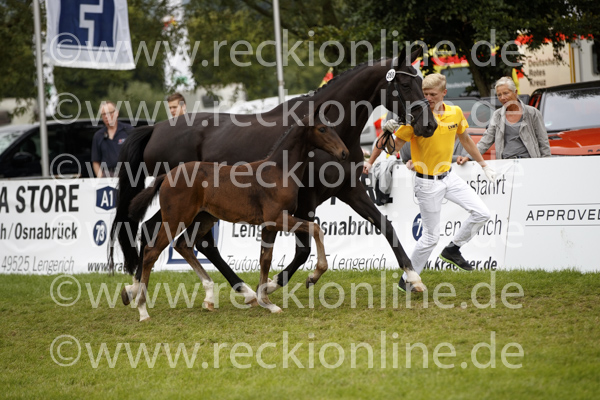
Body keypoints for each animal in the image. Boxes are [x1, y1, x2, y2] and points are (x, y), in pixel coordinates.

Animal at [124, 106, 349, 321]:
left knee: (184, 245)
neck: (279, 171)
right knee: (152, 252)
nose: (344, 153)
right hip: (176, 219)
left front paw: (266, 298)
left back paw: (209, 296)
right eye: (322, 129)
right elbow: (315, 229)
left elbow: (265, 258)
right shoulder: (276, 219)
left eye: (333, 127)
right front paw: (311, 277)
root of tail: (166, 176)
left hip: (204, 218)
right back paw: (142, 309)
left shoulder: (270, 225)